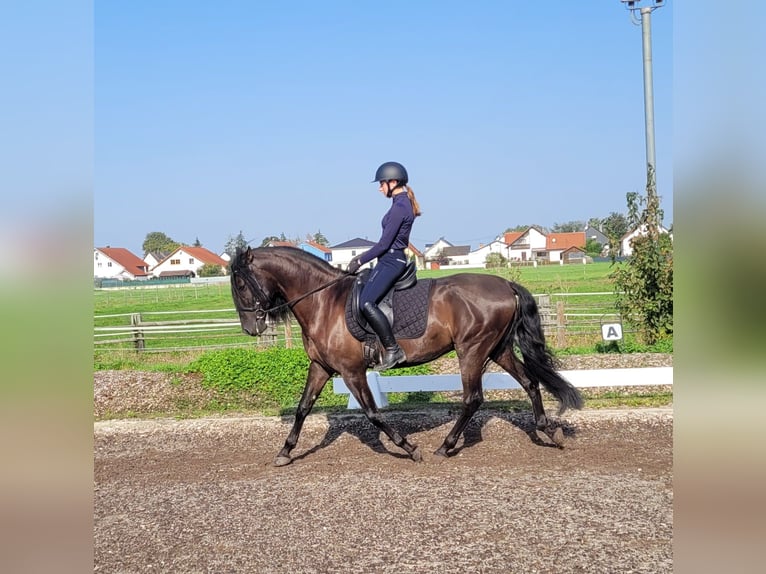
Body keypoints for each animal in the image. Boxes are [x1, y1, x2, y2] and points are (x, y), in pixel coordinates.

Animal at [231, 248, 584, 468]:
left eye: (240, 284)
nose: (250, 328)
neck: (323, 301)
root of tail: (505, 284)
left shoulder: (351, 370)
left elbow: (373, 414)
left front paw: (409, 448)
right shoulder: (321, 367)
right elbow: (303, 408)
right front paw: (284, 452)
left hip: (472, 350)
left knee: (473, 398)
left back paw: (445, 445)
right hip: (498, 350)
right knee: (530, 382)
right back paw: (548, 431)